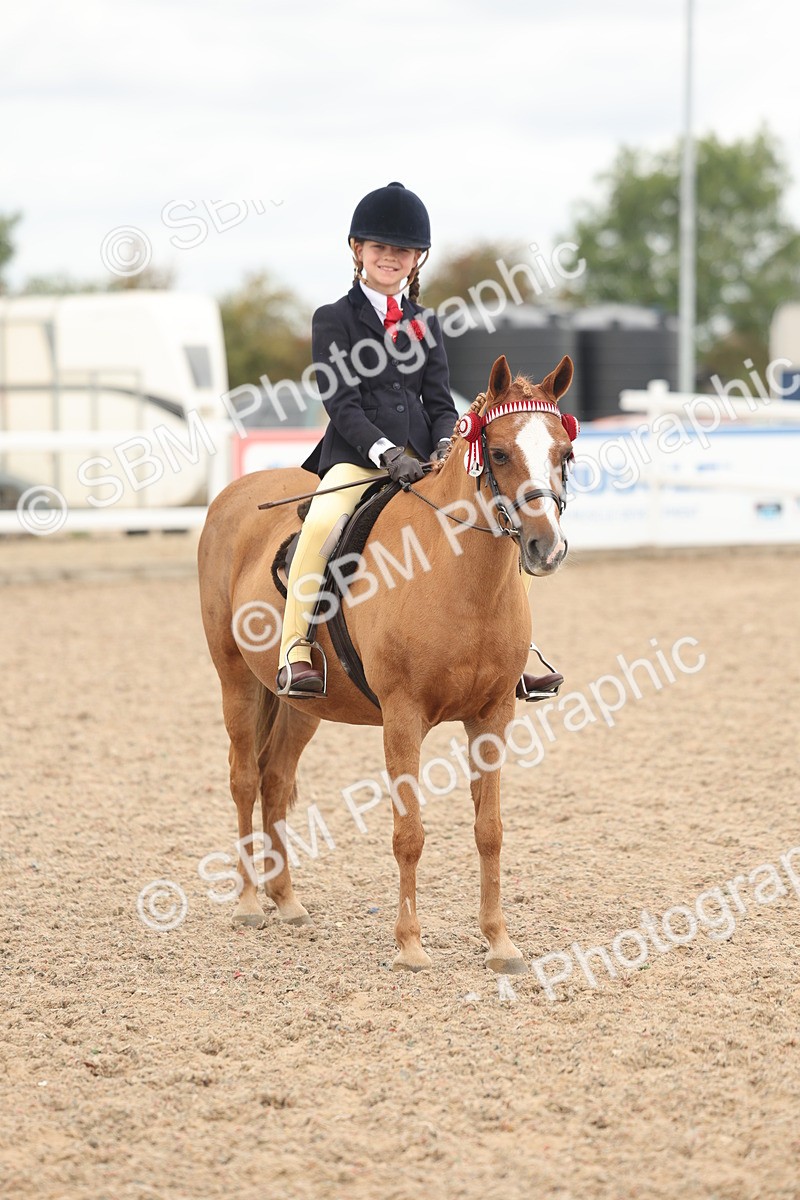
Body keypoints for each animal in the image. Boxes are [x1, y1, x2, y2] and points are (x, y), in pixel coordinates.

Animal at [197, 353, 577, 974]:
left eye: (564, 453)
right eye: (498, 453)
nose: (546, 548)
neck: (456, 578)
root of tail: (235, 494)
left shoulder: (493, 716)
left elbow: (490, 830)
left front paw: (499, 942)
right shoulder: (402, 718)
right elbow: (409, 834)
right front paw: (411, 946)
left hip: (302, 704)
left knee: (276, 781)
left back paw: (288, 901)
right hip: (236, 683)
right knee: (245, 779)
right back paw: (251, 903)